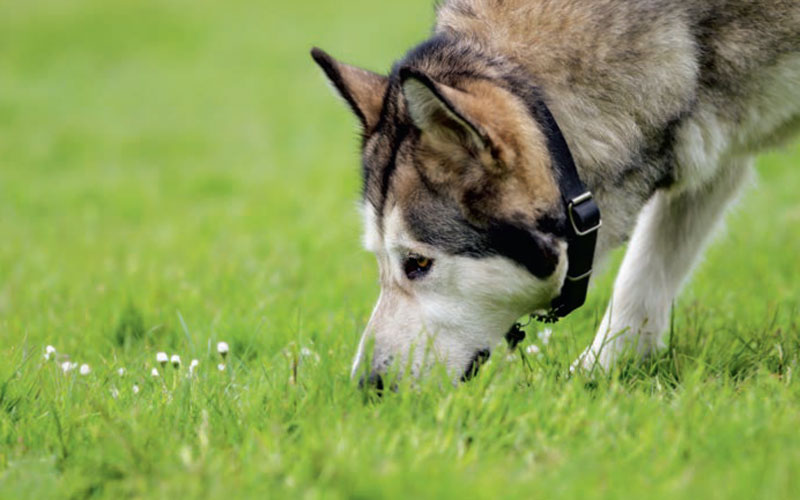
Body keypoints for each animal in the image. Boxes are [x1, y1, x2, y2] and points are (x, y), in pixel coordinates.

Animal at [310, 0, 800, 382]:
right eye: (379, 260)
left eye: (418, 263)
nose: (367, 386)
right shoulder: (714, 148)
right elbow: (643, 279)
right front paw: (598, 378)